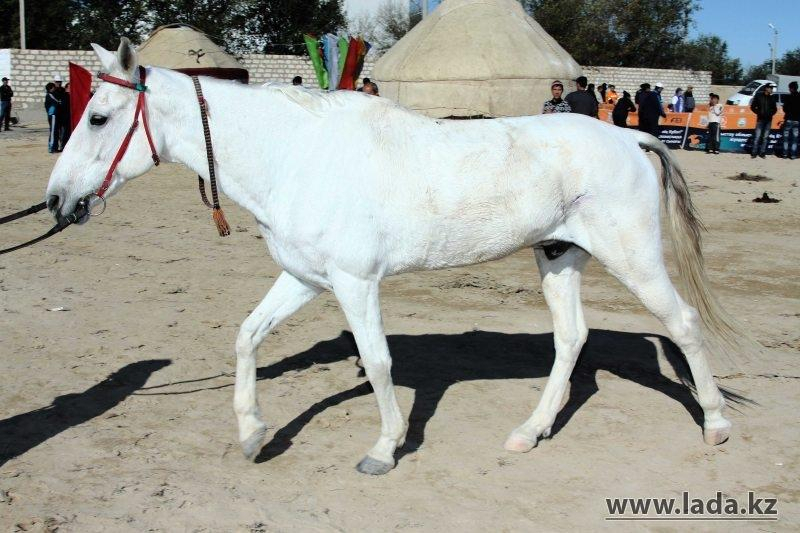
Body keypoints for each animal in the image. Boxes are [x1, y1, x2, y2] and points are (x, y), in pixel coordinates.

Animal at [47, 40, 740, 474]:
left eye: (100, 118)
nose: (57, 199)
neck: (296, 154)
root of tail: (631, 137)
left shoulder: (356, 284)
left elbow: (379, 363)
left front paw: (384, 449)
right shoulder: (305, 278)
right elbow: (247, 336)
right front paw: (251, 434)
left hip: (632, 258)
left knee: (682, 324)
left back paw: (715, 426)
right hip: (559, 255)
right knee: (571, 339)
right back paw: (529, 432)